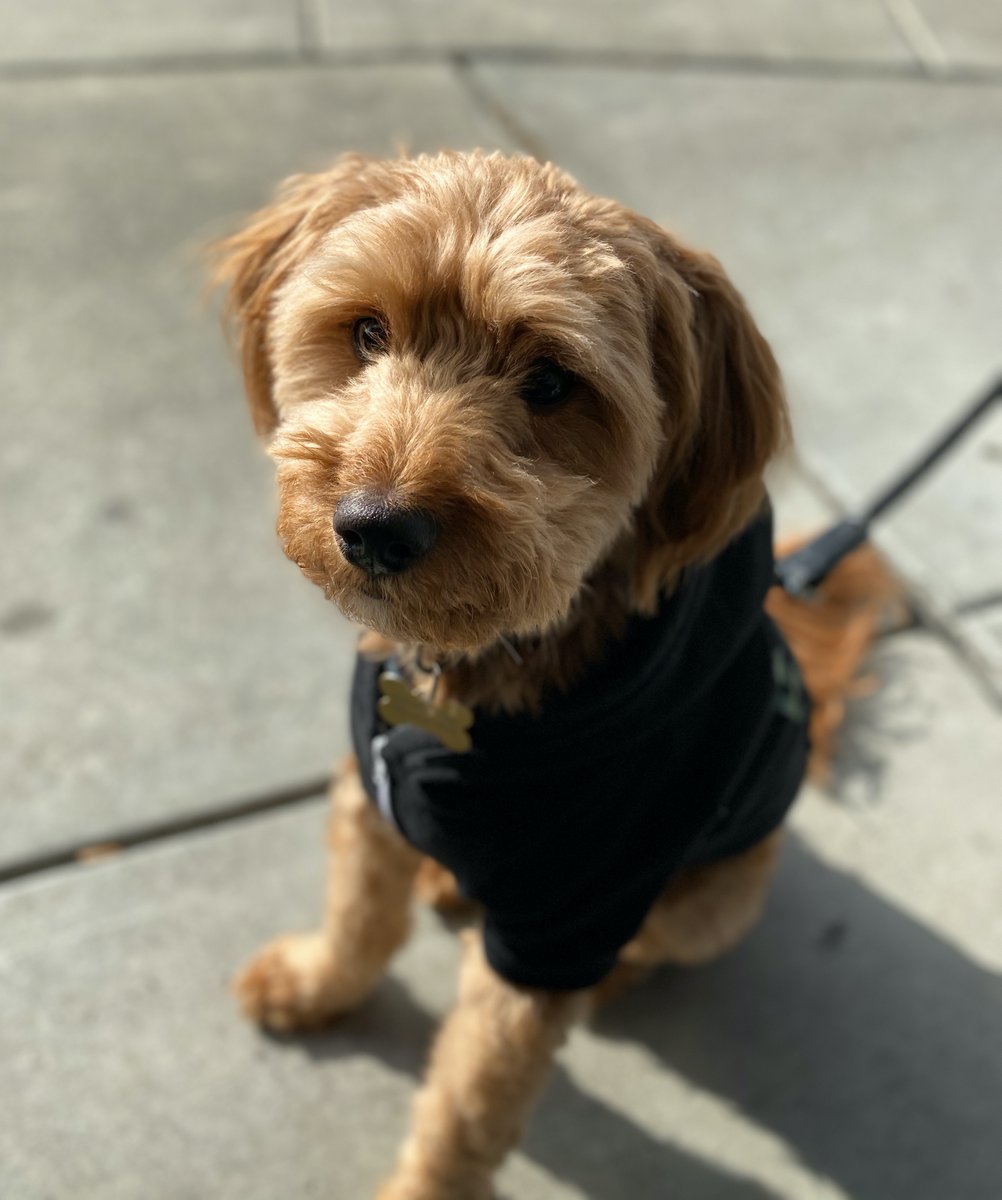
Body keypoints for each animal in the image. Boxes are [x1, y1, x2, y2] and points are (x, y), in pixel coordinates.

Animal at [213, 154, 888, 1195]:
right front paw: (318, 981)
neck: (471, 677)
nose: (373, 527)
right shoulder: (365, 794)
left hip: (717, 901)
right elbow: (360, 915)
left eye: (550, 382)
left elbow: (467, 1103)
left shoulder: (553, 931)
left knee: (655, 942)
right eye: (367, 332)